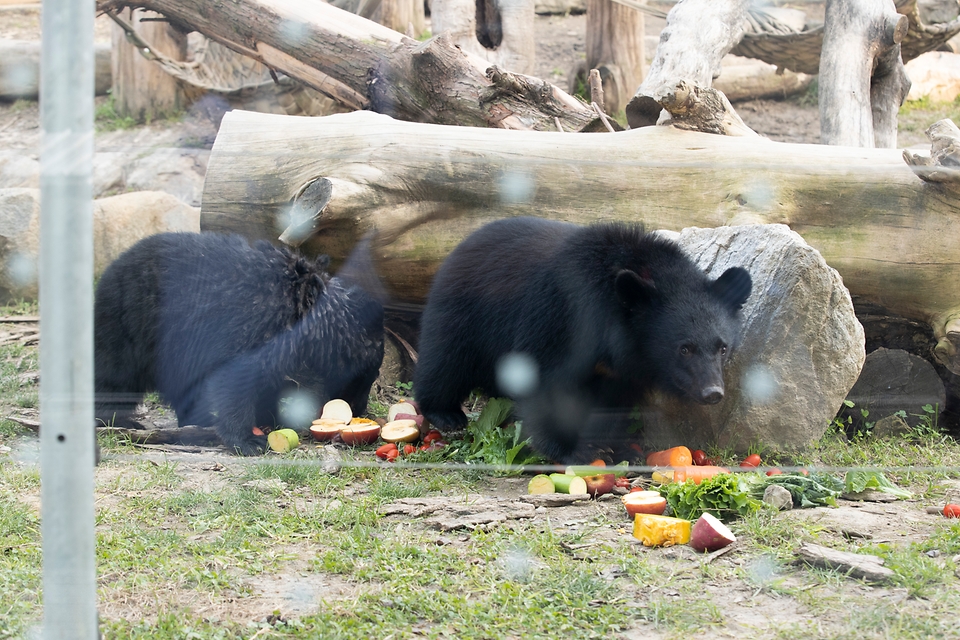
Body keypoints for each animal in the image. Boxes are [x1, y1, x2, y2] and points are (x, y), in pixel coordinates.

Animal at [94, 231, 382, 456]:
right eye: (364, 377)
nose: (360, 408)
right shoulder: (253, 326)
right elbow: (234, 382)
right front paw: (248, 440)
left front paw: (270, 419)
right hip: (132, 323)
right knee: (115, 374)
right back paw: (118, 419)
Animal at [416, 218, 752, 462]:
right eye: (684, 348)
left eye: (722, 347)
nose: (713, 392)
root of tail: (461, 244)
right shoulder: (560, 317)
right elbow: (546, 384)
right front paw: (573, 451)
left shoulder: (623, 370)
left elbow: (614, 402)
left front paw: (616, 448)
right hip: (464, 314)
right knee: (446, 360)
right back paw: (446, 414)